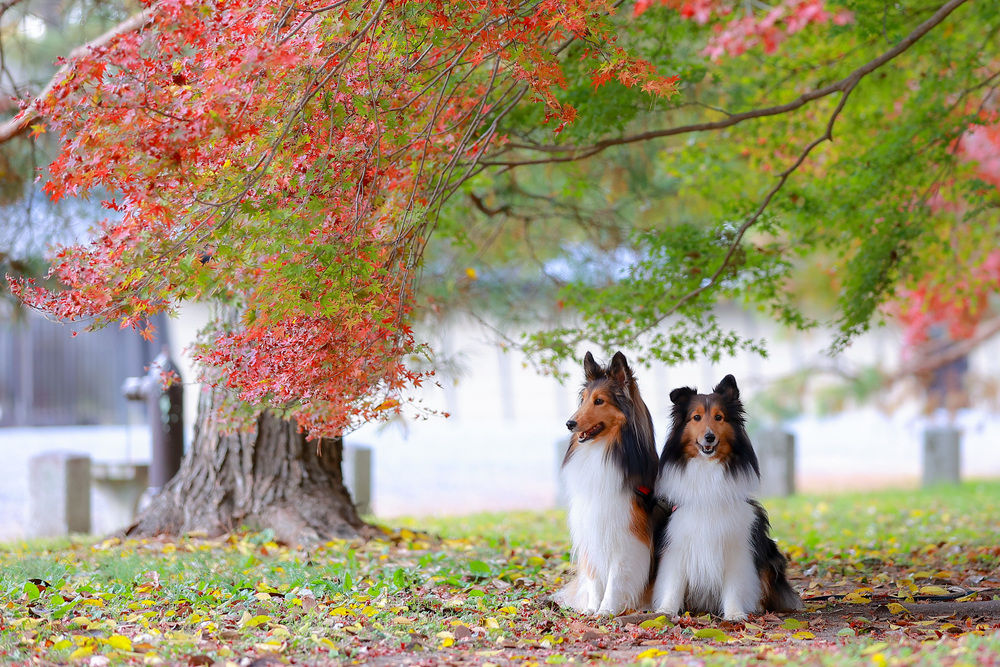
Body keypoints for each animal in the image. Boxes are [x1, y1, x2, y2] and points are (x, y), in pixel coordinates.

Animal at [556, 352, 664, 620]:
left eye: (599, 401)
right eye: (583, 399)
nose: (569, 423)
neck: (603, 451)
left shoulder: (626, 533)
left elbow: (617, 576)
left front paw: (607, 610)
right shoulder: (591, 529)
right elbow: (594, 576)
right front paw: (592, 608)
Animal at [648, 376, 804, 620]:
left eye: (719, 417)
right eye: (696, 417)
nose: (709, 437)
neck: (707, 471)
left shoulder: (736, 543)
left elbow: (735, 584)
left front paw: (735, 614)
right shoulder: (677, 540)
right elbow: (673, 582)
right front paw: (666, 611)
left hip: (770, 557)